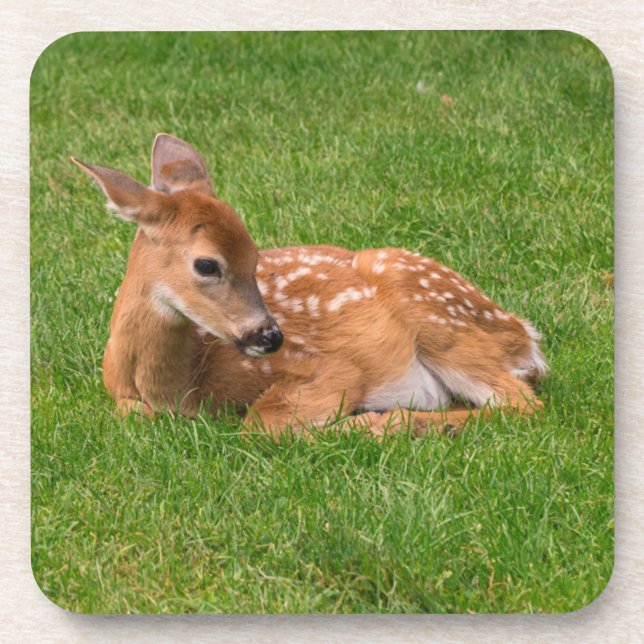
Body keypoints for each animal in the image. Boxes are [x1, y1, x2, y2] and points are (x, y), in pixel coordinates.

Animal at [71, 134, 547, 439]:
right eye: (206, 264)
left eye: (256, 256)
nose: (271, 336)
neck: (180, 383)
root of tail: (524, 335)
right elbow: (133, 414)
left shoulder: (330, 367)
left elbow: (260, 423)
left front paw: (366, 422)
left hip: (438, 319)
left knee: (522, 403)